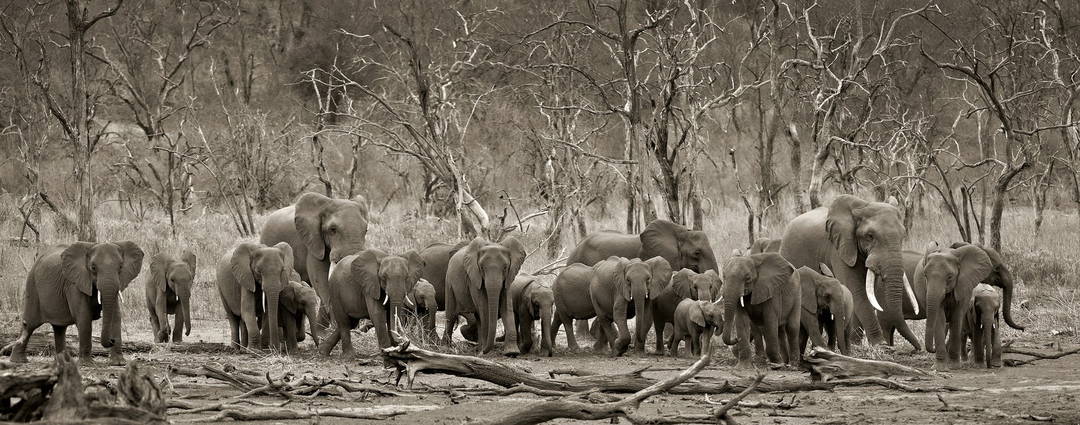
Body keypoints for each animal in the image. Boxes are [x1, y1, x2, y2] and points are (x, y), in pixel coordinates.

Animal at [9, 241, 144, 365]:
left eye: (121, 267)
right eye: (93, 267)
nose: (112, 340)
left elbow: (116, 316)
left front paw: (119, 363)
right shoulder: (74, 283)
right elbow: (84, 317)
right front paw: (87, 364)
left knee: (59, 328)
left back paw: (62, 362)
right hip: (32, 286)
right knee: (29, 323)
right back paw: (18, 361)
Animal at [780, 194, 921, 350]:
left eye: (903, 236)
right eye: (870, 236)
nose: (918, 348)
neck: (861, 207)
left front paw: (856, 345)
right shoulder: (839, 249)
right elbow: (857, 291)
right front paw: (880, 345)